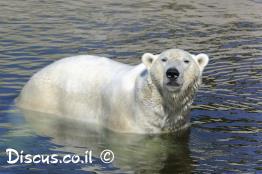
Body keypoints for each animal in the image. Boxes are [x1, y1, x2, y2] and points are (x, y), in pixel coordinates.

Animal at [16, 48, 209, 133]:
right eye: (163, 59)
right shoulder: (126, 122)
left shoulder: (178, 123)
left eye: (186, 61)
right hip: (45, 98)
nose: (172, 73)